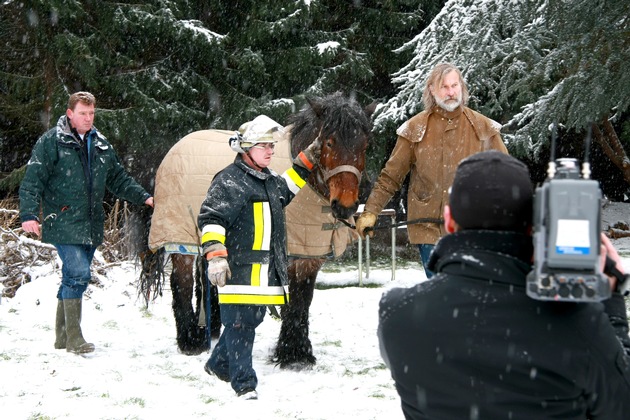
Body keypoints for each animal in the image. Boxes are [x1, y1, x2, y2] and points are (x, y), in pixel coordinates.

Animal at [142, 92, 376, 368]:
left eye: (364, 146)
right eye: (328, 143)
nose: (345, 206)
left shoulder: (310, 254)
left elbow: (304, 299)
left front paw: (300, 352)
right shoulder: (289, 255)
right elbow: (292, 301)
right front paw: (290, 353)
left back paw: (210, 329)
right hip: (180, 240)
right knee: (181, 282)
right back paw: (189, 340)